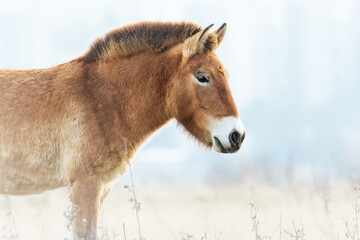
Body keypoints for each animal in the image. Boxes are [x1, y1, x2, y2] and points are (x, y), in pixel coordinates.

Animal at [0, 21, 245, 239]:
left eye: (226, 75)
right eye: (202, 77)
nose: (237, 136)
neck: (101, 98)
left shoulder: (103, 188)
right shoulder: (85, 184)